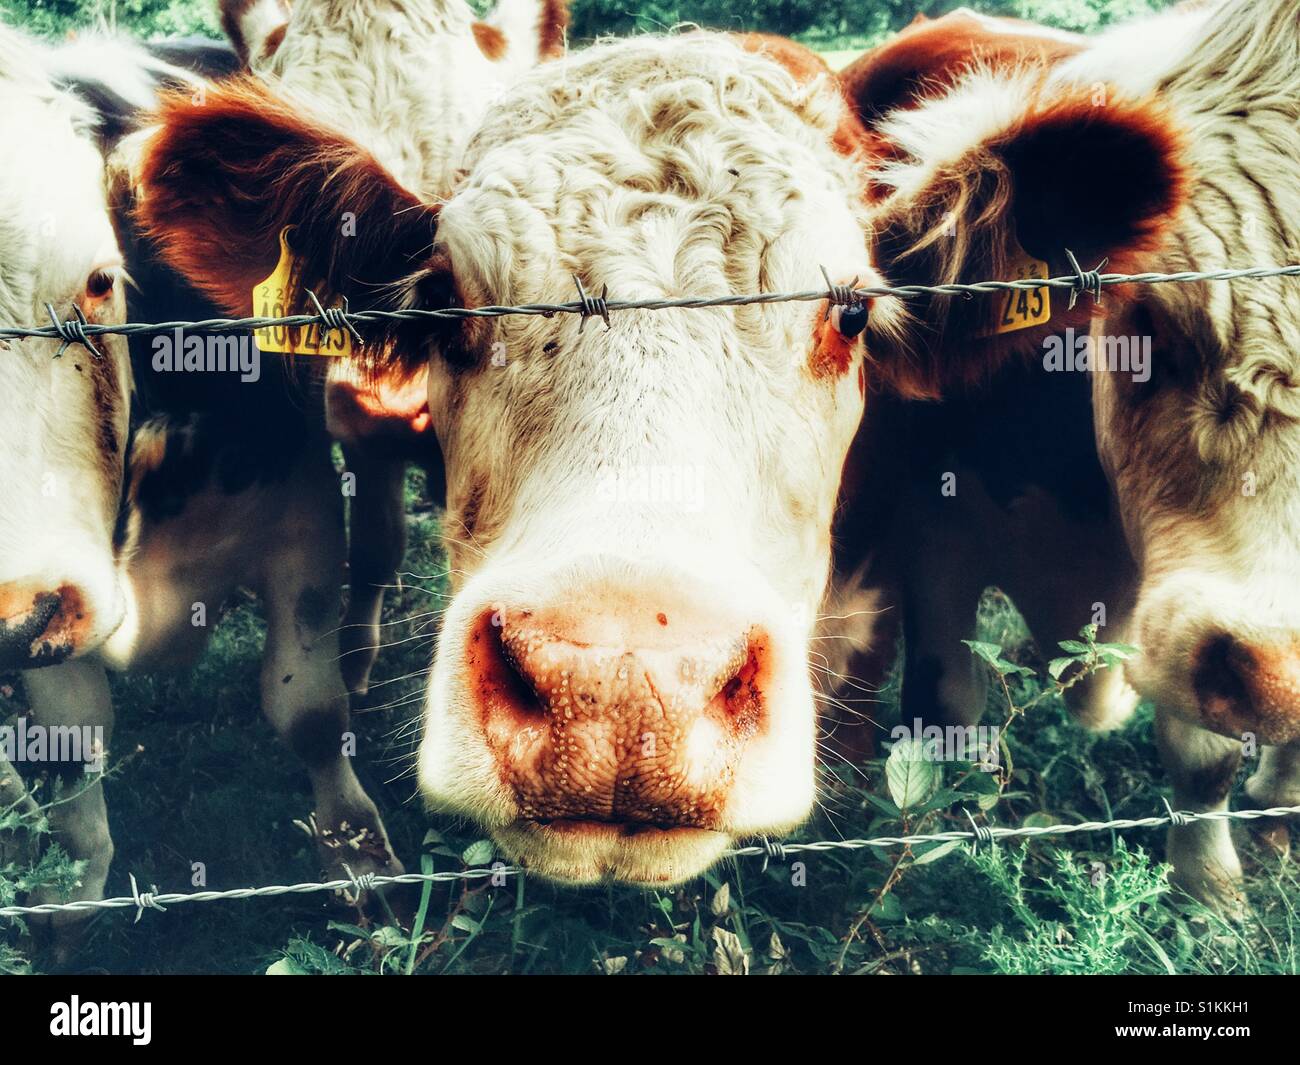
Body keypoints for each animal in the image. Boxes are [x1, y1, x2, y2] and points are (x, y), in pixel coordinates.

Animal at [836, 0, 1300, 912]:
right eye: (1148, 322)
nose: (1279, 673)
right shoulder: (935, 525)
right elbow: (945, 703)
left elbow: (1204, 756)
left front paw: (1208, 888)